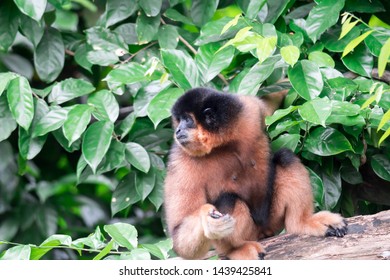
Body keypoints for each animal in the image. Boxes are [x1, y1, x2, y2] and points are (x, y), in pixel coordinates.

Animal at [163, 87, 346, 260]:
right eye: (179, 121)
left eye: (187, 120)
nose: (178, 130)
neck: (223, 143)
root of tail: (263, 230)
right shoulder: (182, 162)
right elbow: (179, 237)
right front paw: (206, 219)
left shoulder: (247, 111)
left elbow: (269, 105)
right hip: (251, 232)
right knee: (228, 199)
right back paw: (234, 249)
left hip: (271, 217)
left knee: (285, 158)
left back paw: (301, 223)